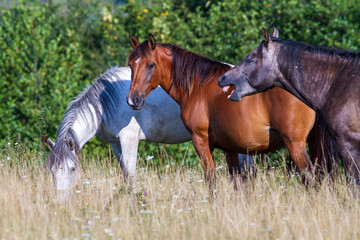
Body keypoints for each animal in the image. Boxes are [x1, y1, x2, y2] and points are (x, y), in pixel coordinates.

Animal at [46, 65, 253, 193]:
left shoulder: (129, 140)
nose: (61, 201)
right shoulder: (116, 144)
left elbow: (131, 176)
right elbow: (125, 175)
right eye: (52, 170)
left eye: (72, 168)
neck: (106, 103)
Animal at [126, 33, 316, 189]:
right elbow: (237, 183)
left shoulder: (201, 141)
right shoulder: (229, 147)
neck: (198, 86)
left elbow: (211, 180)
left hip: (295, 144)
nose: (133, 100)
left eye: (151, 65)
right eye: (131, 65)